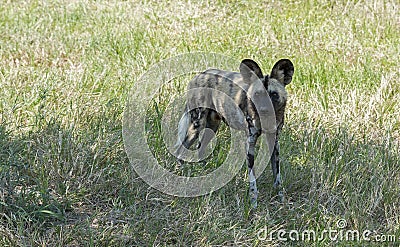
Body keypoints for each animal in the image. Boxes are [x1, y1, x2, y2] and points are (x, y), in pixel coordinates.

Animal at [175, 58, 294, 207]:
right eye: (257, 95)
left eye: (273, 95)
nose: (263, 109)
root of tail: (199, 75)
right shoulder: (250, 144)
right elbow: (252, 179)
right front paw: (253, 203)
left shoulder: (274, 142)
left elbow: (277, 176)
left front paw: (281, 200)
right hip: (197, 125)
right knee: (181, 149)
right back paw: (180, 174)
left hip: (212, 126)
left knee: (200, 148)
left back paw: (205, 173)